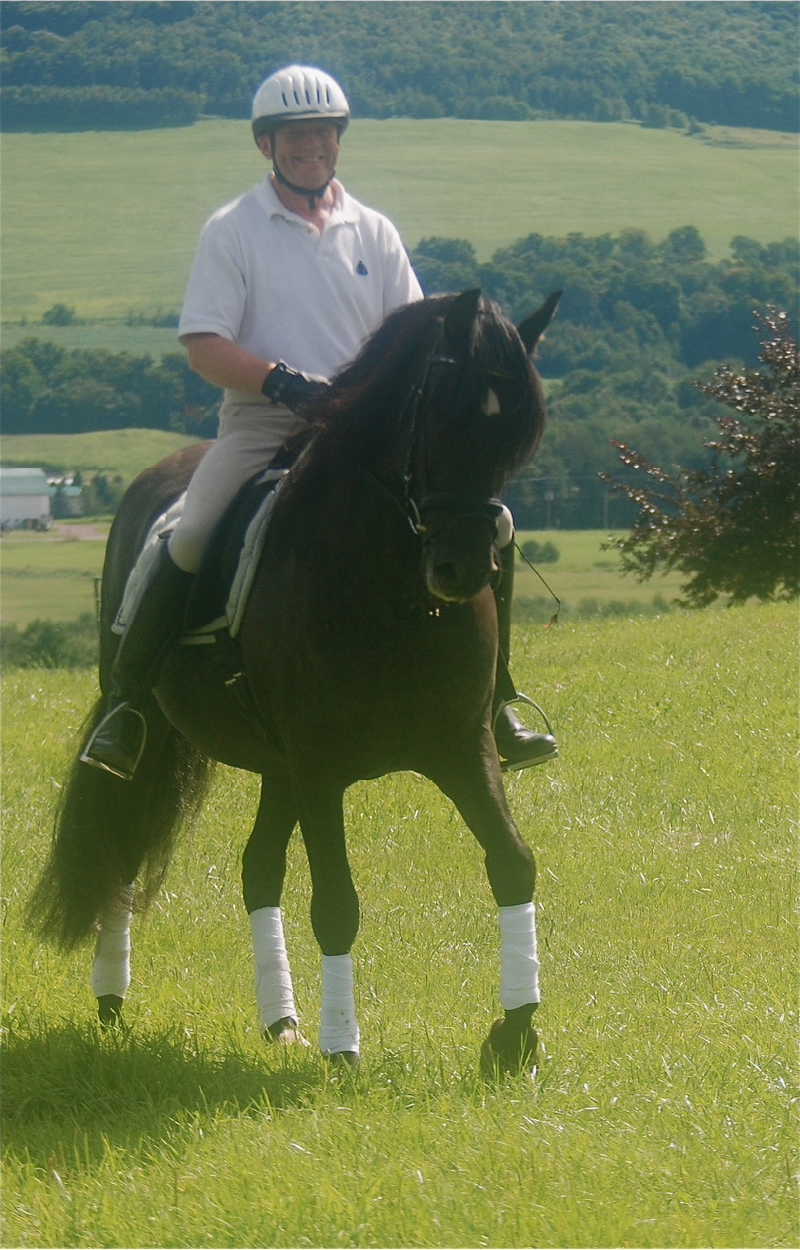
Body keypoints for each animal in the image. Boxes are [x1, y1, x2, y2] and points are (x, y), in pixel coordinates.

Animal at [28, 288, 559, 1075]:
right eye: (439, 408)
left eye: (517, 432)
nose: (461, 569)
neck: (392, 592)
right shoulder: (320, 769)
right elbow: (337, 902)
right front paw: (344, 1051)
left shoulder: (462, 749)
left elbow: (513, 864)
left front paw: (516, 1031)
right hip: (175, 739)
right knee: (120, 846)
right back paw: (112, 1003)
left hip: (276, 766)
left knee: (257, 869)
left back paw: (280, 1022)